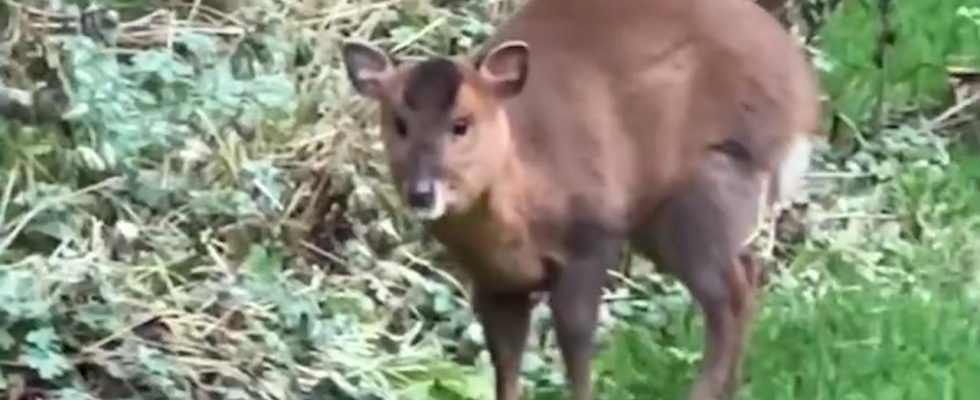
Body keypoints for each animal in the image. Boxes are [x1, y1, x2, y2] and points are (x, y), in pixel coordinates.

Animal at [340, 0, 824, 396]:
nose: (422, 192)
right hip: (662, 217)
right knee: (746, 272)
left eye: (461, 124)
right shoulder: (494, 282)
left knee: (728, 294)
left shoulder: (593, 237)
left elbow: (576, 347)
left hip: (707, 183)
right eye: (399, 123)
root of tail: (805, 97)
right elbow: (506, 368)